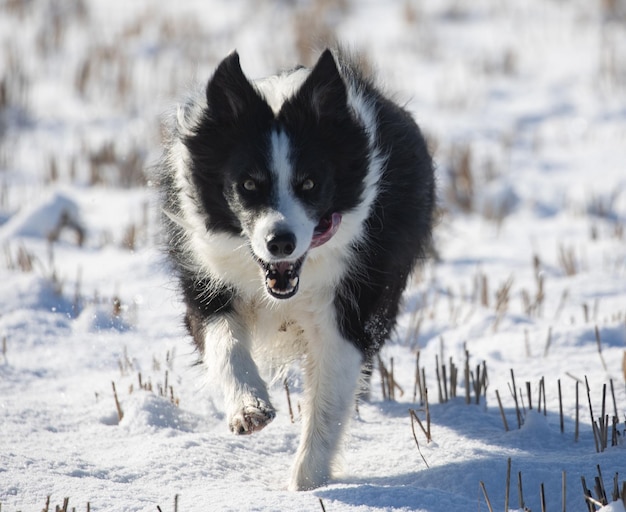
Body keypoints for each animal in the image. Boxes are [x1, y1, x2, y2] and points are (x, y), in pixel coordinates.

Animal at [157, 50, 434, 490]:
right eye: (248, 184)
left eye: (309, 184)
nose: (280, 242)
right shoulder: (206, 283)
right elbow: (224, 344)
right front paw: (249, 409)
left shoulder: (350, 307)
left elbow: (329, 399)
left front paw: (307, 484)